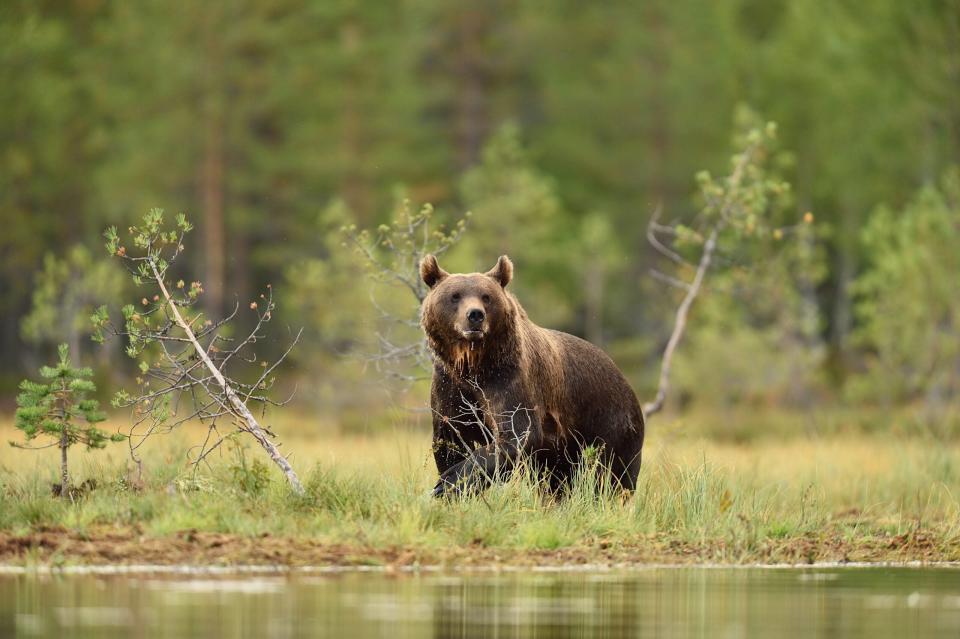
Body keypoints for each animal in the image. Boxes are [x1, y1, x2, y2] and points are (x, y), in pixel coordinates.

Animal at [420, 252, 644, 498]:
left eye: (486, 297)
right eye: (455, 296)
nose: (475, 315)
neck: (474, 364)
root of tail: (626, 382)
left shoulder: (508, 378)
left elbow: (518, 433)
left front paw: (450, 481)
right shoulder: (450, 384)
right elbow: (450, 437)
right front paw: (449, 485)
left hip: (608, 423)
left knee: (611, 476)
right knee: (557, 481)